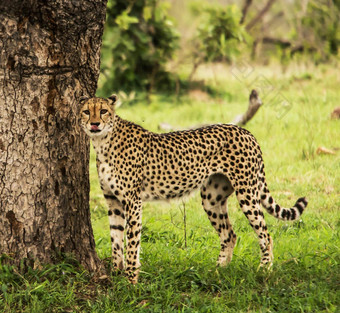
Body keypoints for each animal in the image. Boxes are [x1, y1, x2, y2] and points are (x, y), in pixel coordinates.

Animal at [79, 94, 308, 282]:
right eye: (86, 111)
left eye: (103, 111)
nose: (94, 124)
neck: (103, 141)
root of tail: (244, 131)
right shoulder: (113, 201)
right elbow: (116, 239)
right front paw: (116, 273)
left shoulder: (133, 201)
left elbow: (132, 242)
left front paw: (131, 280)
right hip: (211, 198)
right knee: (229, 234)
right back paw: (218, 272)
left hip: (247, 192)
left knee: (265, 234)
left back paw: (265, 269)